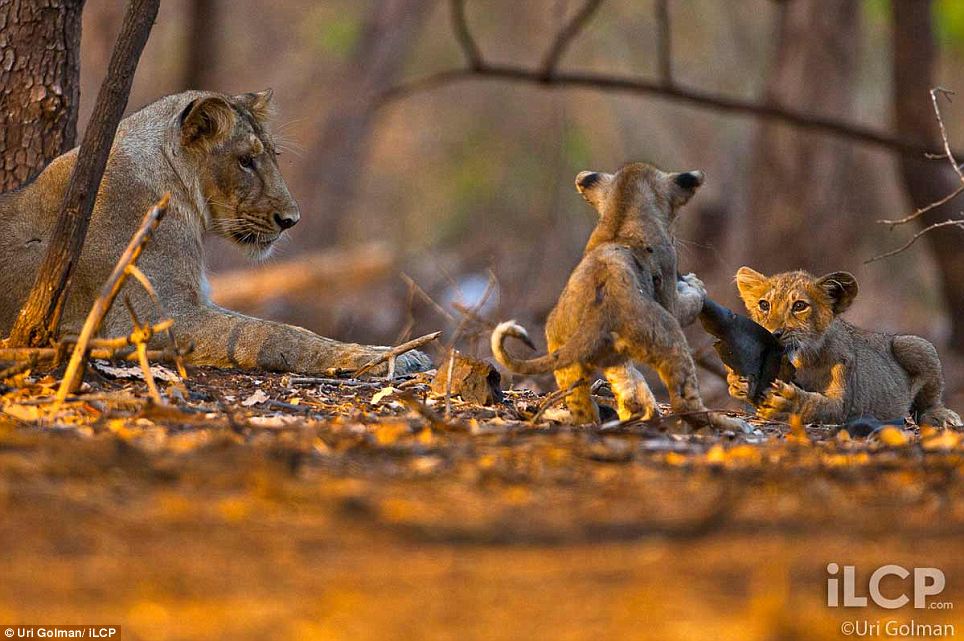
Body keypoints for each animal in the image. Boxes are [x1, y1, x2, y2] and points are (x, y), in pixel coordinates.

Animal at [0, 87, 430, 372]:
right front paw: (384, 357)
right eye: (245, 161)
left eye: (273, 156)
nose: (291, 219)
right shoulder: (151, 317)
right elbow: (275, 334)